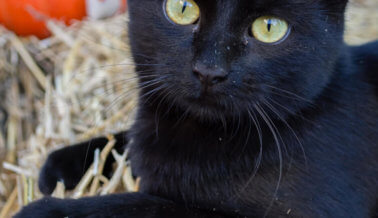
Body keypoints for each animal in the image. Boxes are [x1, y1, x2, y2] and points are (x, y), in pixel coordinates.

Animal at [15, 0, 378, 217]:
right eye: (182, 8)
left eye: (269, 27)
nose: (209, 70)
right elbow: (126, 142)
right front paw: (62, 164)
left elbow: (153, 206)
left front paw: (46, 211)